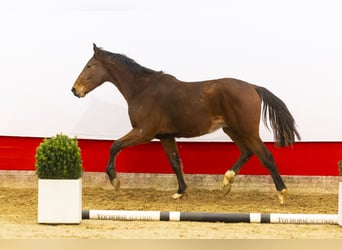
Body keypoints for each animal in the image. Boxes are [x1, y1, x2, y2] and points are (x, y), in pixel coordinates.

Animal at [71, 44, 300, 205]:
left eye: (89, 66)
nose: (75, 90)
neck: (142, 90)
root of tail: (253, 87)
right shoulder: (165, 136)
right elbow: (175, 162)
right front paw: (180, 192)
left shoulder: (143, 132)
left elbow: (114, 145)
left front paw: (115, 180)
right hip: (232, 129)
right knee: (247, 152)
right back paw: (226, 183)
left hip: (246, 130)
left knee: (266, 156)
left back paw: (281, 193)